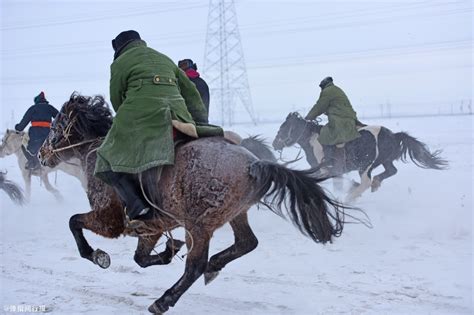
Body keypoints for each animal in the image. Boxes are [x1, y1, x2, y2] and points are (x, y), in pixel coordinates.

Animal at [38, 95, 352, 314]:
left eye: (55, 127)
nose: (41, 154)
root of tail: (253, 164)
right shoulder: (151, 227)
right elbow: (141, 258)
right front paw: (169, 250)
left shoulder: (108, 219)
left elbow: (74, 222)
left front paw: (97, 255)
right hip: (234, 214)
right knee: (246, 243)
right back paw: (214, 266)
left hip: (199, 225)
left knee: (195, 266)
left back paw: (164, 300)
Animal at [272, 113, 446, 201]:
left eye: (283, 128)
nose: (275, 143)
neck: (314, 139)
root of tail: (394, 135)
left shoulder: (327, 170)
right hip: (384, 161)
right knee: (391, 171)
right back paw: (373, 184)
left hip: (365, 165)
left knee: (366, 181)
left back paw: (351, 196)